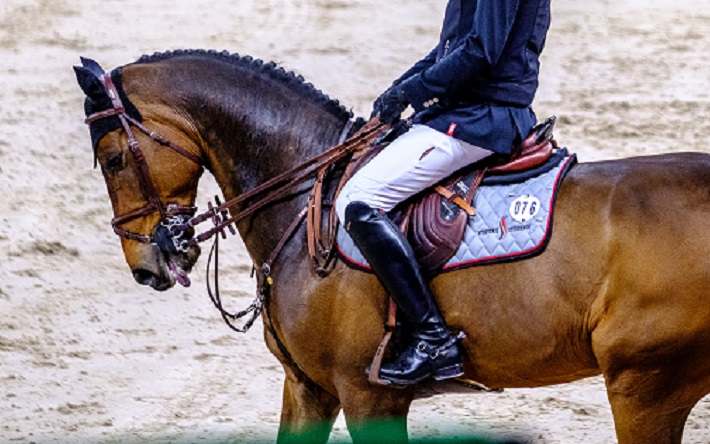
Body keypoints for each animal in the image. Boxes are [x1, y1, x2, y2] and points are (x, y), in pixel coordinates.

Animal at [73, 50, 710, 442]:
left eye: (113, 158)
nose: (147, 265)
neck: (306, 194)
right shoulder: (308, 389)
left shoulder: (368, 398)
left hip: (643, 389)